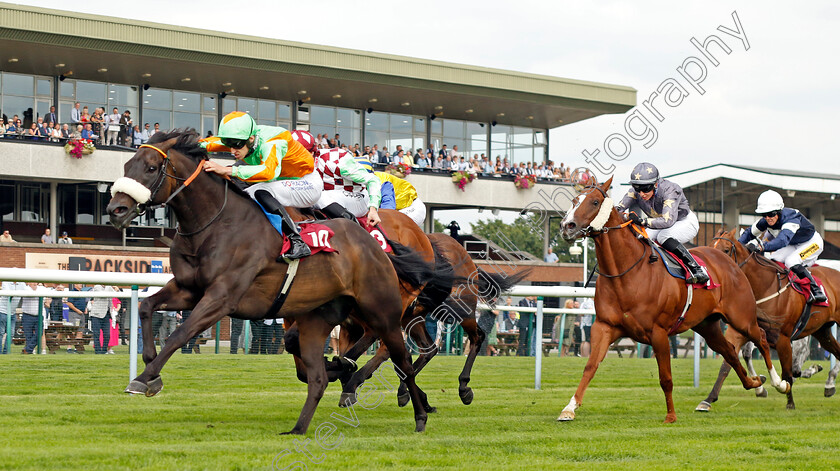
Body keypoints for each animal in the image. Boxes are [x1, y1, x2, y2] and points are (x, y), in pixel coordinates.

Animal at [106, 131, 434, 434]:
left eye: (150, 168)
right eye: (127, 164)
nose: (115, 210)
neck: (217, 222)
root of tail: (378, 242)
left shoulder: (221, 297)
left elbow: (180, 334)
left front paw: (144, 378)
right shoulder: (189, 289)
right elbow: (147, 307)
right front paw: (150, 370)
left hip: (383, 310)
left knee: (400, 356)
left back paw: (414, 410)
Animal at [556, 178, 780, 424]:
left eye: (595, 202)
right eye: (574, 200)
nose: (567, 226)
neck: (626, 273)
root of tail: (729, 261)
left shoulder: (658, 333)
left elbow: (666, 377)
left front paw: (671, 415)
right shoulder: (605, 326)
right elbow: (590, 366)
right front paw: (569, 408)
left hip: (741, 317)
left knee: (761, 337)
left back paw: (779, 382)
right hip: (707, 325)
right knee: (729, 351)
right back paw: (755, 383)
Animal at [696, 227, 840, 412]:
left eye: (726, 250)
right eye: (709, 247)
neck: (763, 286)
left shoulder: (783, 338)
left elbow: (787, 372)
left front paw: (789, 401)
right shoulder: (741, 331)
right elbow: (727, 364)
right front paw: (708, 400)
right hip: (822, 331)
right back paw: (828, 383)